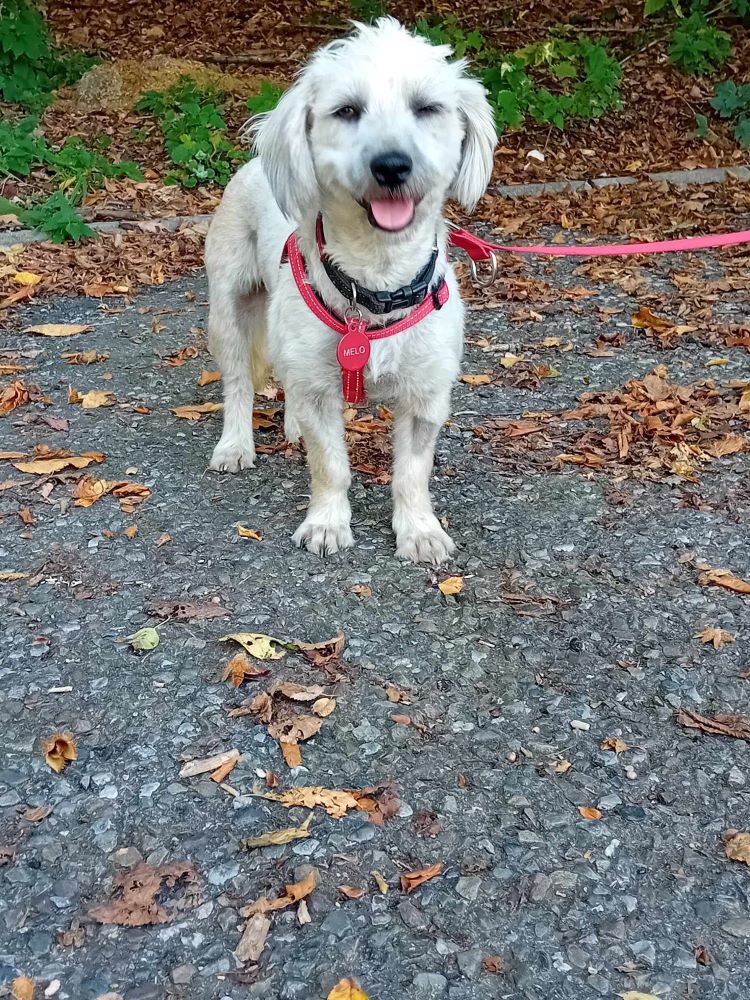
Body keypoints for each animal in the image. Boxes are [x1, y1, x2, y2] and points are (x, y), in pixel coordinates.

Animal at [206, 17, 500, 564]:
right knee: (238, 383)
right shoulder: (319, 391)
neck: (376, 282)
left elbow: (412, 474)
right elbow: (330, 465)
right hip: (230, 311)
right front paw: (327, 523)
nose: (392, 163)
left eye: (427, 107)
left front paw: (419, 530)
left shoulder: (425, 396)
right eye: (346, 111)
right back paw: (235, 443)